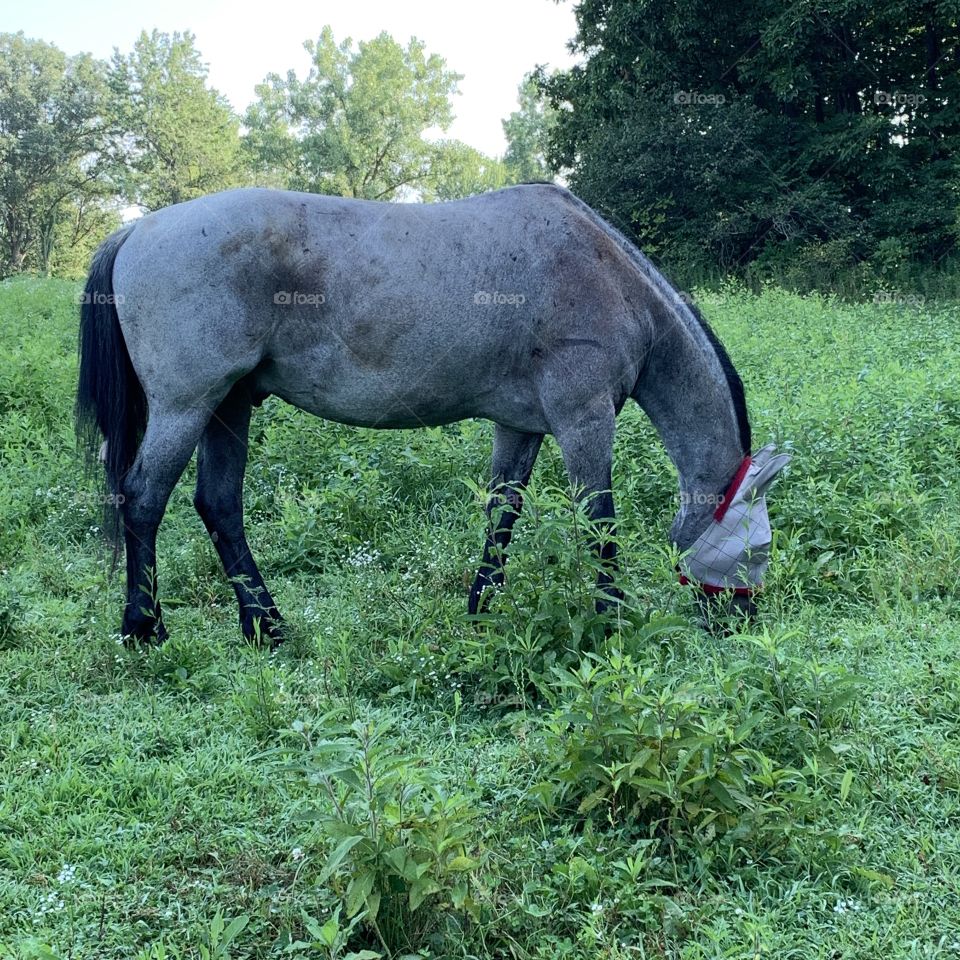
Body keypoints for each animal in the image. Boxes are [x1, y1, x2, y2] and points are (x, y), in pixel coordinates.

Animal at [75, 183, 789, 646]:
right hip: (187, 405)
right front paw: (609, 622)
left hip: (228, 406)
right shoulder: (584, 421)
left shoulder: (521, 425)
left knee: (219, 505)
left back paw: (266, 626)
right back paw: (145, 628)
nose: (744, 622)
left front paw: (481, 611)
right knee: (143, 500)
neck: (605, 275)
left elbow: (502, 516)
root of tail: (138, 229)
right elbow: (599, 526)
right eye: (756, 547)